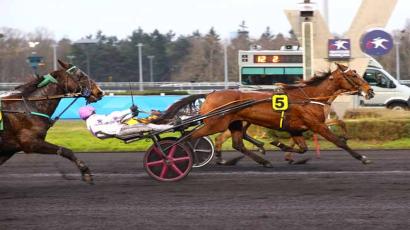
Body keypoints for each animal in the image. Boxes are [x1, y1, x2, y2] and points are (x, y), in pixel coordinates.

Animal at [154, 63, 374, 167]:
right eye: (353, 75)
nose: (370, 90)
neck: (309, 97)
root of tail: (210, 93)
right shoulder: (316, 125)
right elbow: (339, 142)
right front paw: (362, 157)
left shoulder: (296, 129)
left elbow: (302, 148)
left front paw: (280, 146)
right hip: (215, 123)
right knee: (188, 137)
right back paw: (173, 156)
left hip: (234, 122)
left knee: (238, 143)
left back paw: (262, 160)